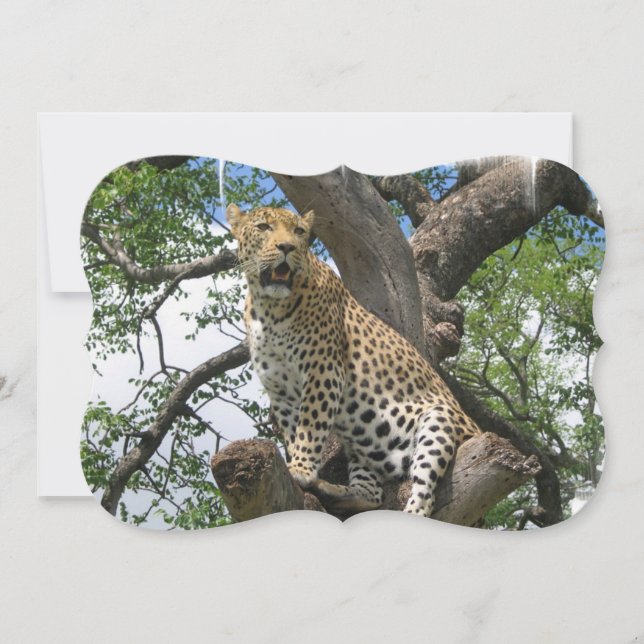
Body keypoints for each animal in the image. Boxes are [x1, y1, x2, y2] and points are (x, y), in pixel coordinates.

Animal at [226, 203, 481, 517]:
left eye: (299, 231)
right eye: (263, 227)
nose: (287, 247)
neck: (268, 308)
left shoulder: (324, 369)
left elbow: (311, 425)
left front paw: (300, 469)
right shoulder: (281, 390)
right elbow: (294, 431)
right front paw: (302, 467)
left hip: (438, 421)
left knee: (424, 494)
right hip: (362, 449)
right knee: (372, 494)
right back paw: (333, 491)